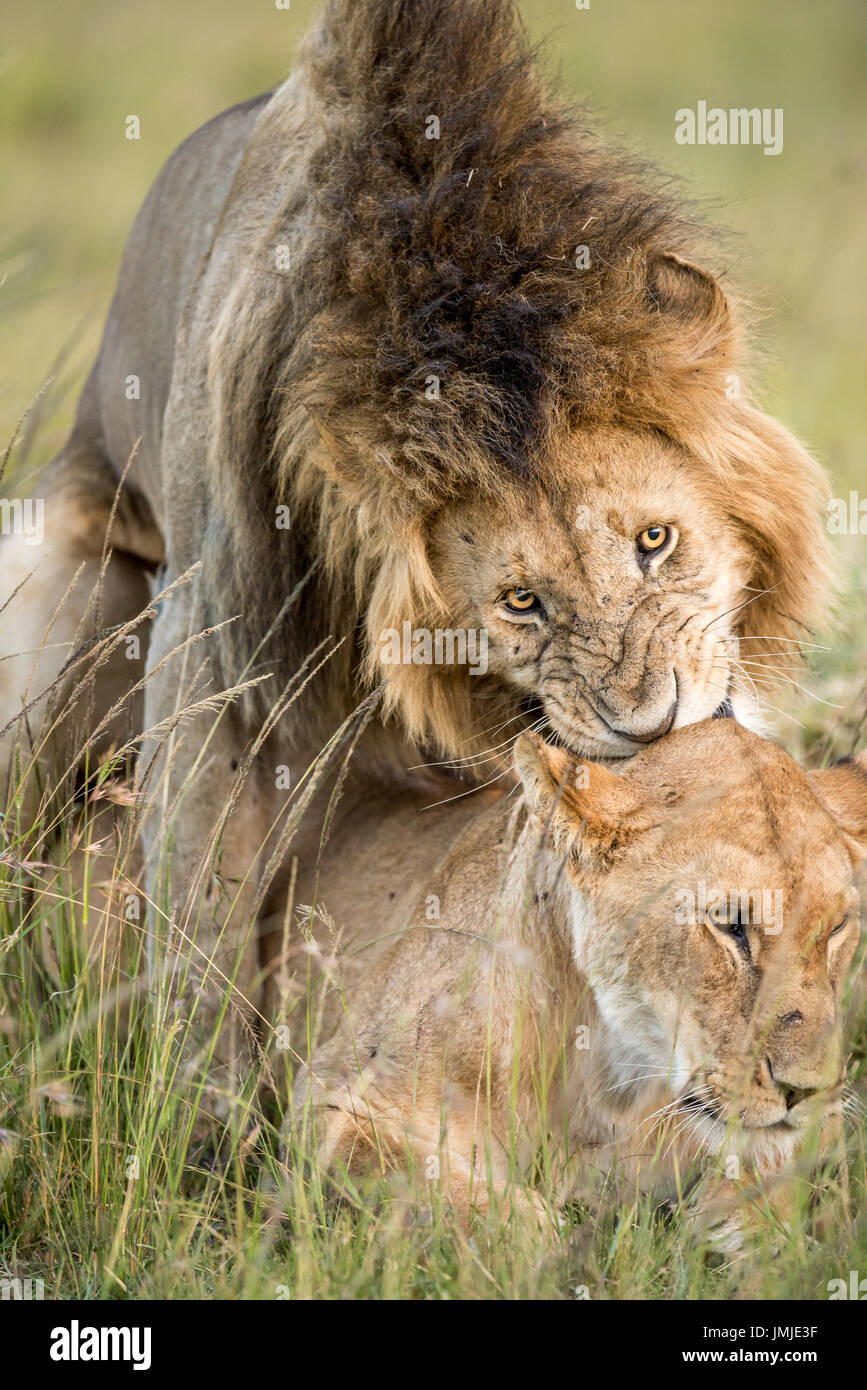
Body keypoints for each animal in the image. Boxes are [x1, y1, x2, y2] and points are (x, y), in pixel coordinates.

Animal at [0, 0, 833, 1073]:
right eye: (520, 602)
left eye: (655, 540)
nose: (647, 725)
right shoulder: (208, 648)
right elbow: (199, 936)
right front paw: (202, 1109)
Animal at [287, 717, 861, 1239]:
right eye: (729, 923)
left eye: (837, 927)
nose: (805, 1091)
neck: (607, 1077)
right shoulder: (328, 1099)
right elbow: (441, 1188)